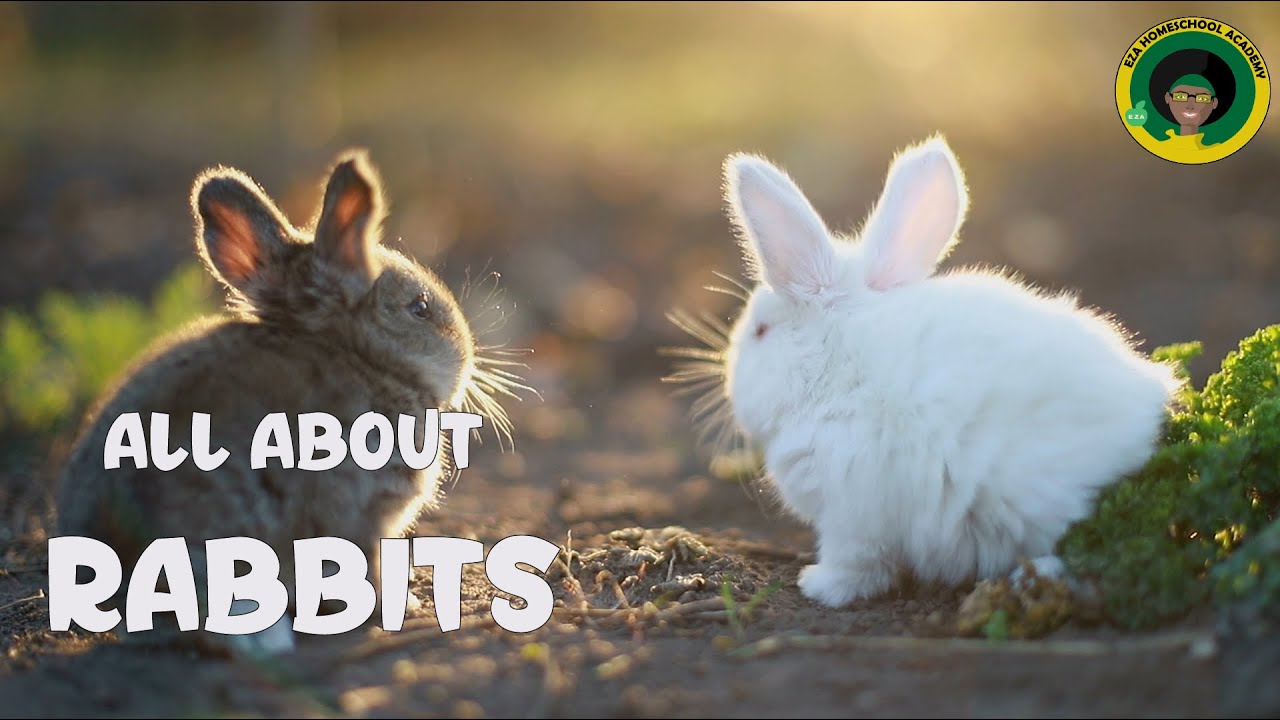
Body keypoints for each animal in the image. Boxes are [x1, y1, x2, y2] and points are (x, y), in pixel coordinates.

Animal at [669, 135, 1182, 608]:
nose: (729, 383)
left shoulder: (851, 514)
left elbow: (856, 563)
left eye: (759, 331)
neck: (839, 368)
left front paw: (820, 587)